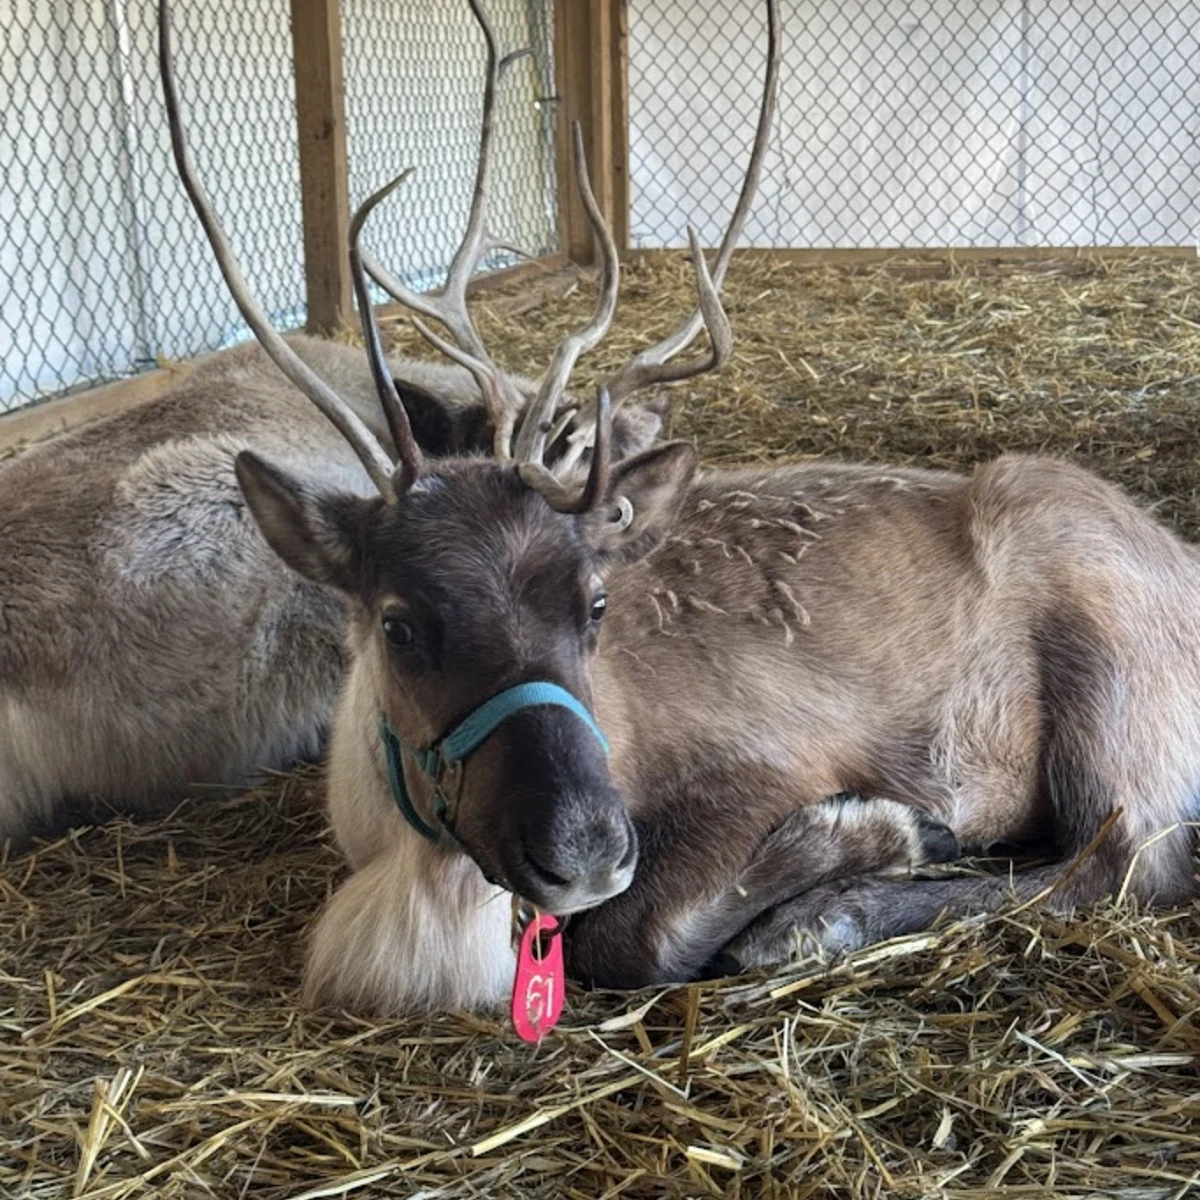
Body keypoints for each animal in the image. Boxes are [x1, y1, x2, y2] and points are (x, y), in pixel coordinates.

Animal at [158, 0, 1200, 1019]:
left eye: (596, 605)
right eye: (400, 624)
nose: (583, 850)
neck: (408, 870)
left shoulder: (767, 763)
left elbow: (637, 932)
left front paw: (873, 838)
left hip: (1110, 685)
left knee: (1118, 862)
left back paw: (824, 917)